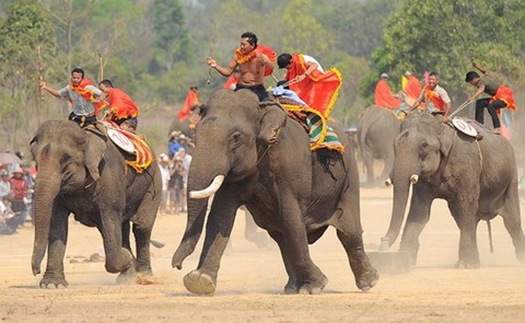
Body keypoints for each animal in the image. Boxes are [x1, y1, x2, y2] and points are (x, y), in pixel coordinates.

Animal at [29, 120, 161, 288]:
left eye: (66, 158)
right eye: (35, 159)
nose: (36, 271)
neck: (85, 134)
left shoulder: (109, 178)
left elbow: (110, 218)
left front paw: (127, 258)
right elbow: (57, 223)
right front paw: (52, 285)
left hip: (155, 182)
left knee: (141, 226)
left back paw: (145, 277)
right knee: (121, 227)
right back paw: (128, 275)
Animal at [170, 89, 378, 296]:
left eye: (236, 137)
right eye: (195, 135)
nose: (177, 266)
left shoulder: (287, 166)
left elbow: (291, 217)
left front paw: (315, 286)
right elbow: (220, 216)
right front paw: (199, 281)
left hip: (348, 176)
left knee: (348, 231)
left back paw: (368, 282)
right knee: (279, 235)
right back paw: (292, 288)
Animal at [380, 112, 524, 270]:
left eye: (424, 145)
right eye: (393, 144)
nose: (382, 242)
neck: (441, 128)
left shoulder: (467, 167)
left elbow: (467, 205)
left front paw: (467, 265)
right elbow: (420, 211)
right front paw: (406, 261)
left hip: (511, 176)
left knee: (511, 220)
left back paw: (519, 257)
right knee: (464, 217)